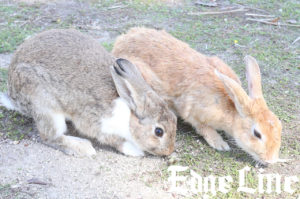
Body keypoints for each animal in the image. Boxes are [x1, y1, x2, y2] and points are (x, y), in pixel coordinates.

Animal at [0, 29, 177, 157]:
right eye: (159, 132)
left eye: (175, 120)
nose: (168, 152)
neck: (129, 115)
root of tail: (14, 96)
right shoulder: (96, 122)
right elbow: (113, 139)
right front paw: (135, 151)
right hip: (44, 104)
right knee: (50, 136)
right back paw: (83, 147)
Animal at [112, 27, 282, 165]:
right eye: (257, 134)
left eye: (280, 127)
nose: (271, 160)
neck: (232, 108)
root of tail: (120, 41)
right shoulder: (194, 113)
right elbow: (203, 128)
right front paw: (220, 144)